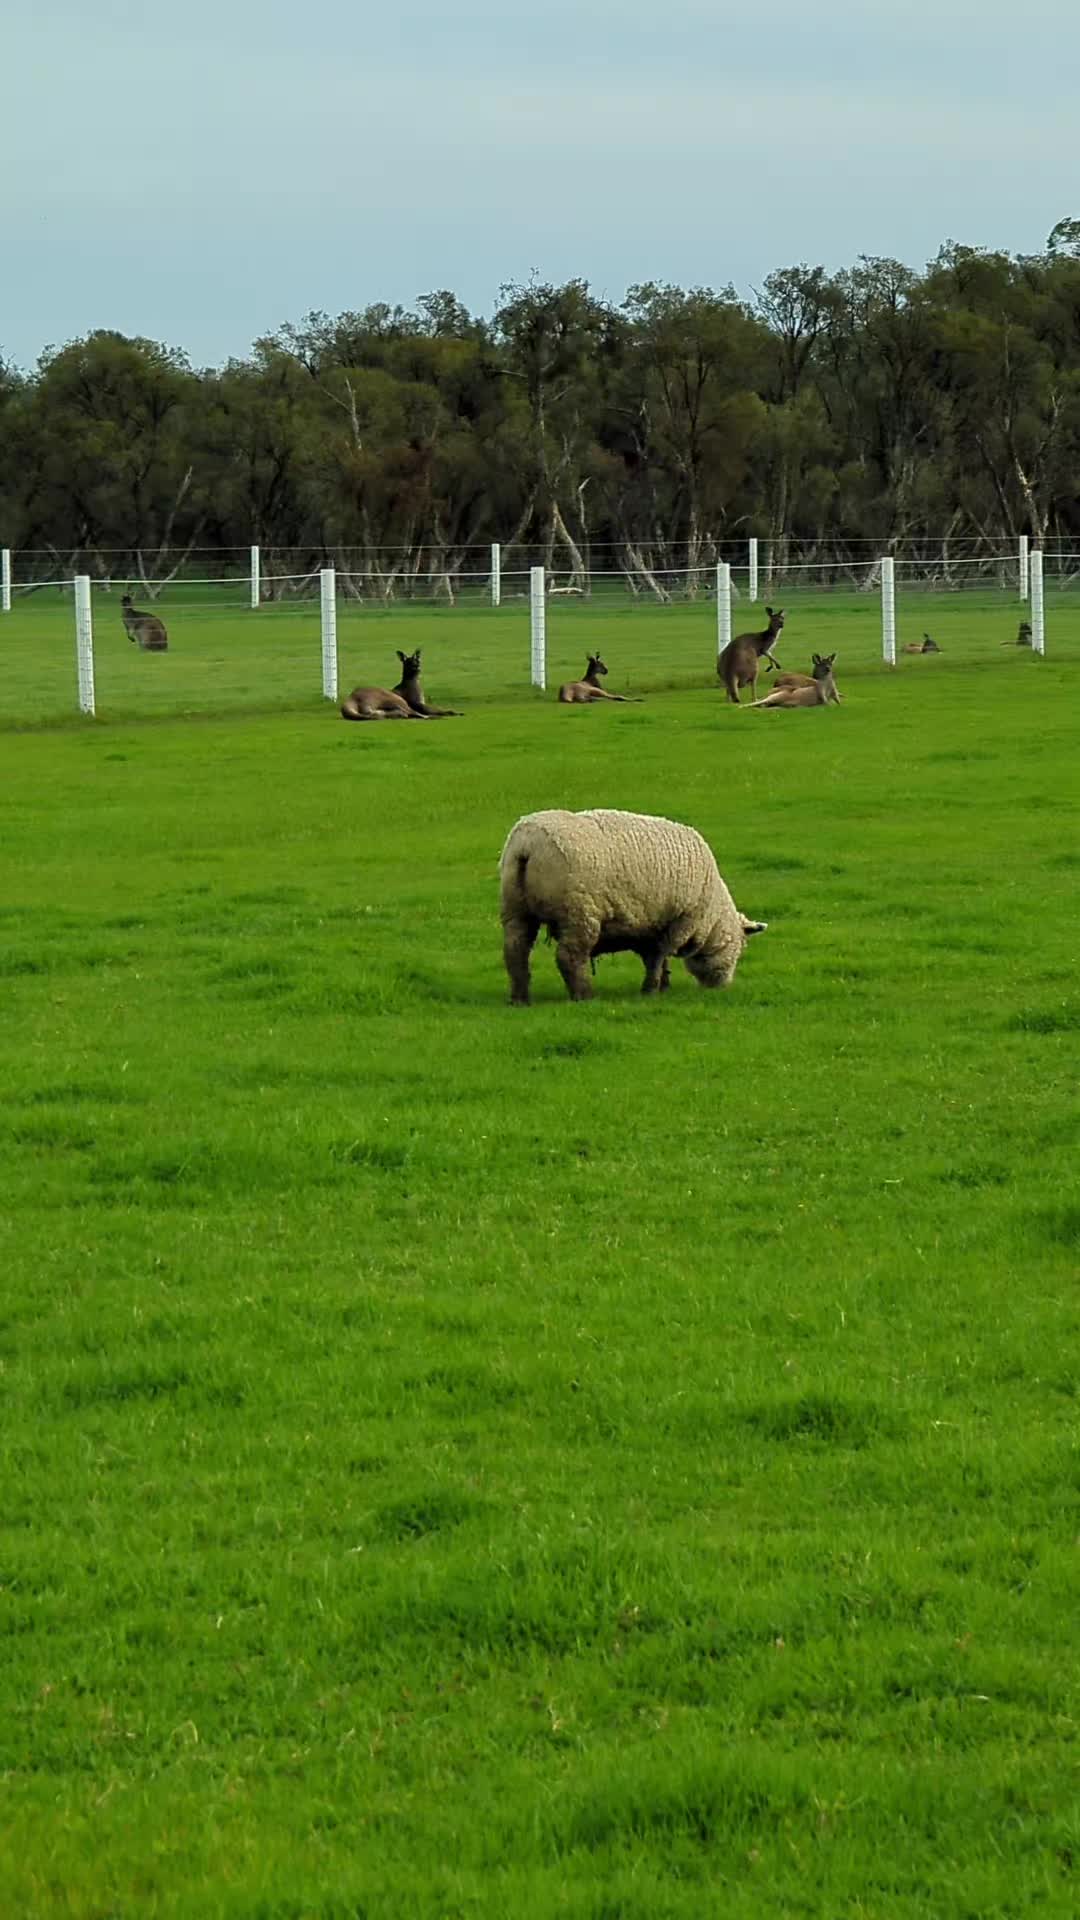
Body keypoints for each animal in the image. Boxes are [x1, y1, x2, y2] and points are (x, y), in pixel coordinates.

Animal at [499, 807, 766, 1004]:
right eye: (741, 948)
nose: (721, 987)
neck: (712, 917)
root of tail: (527, 846)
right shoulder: (678, 922)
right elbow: (659, 957)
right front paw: (650, 990)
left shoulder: (651, 925)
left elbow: (656, 959)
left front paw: (663, 985)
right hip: (579, 912)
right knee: (570, 956)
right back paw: (585, 996)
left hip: (516, 909)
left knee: (515, 951)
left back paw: (520, 998)